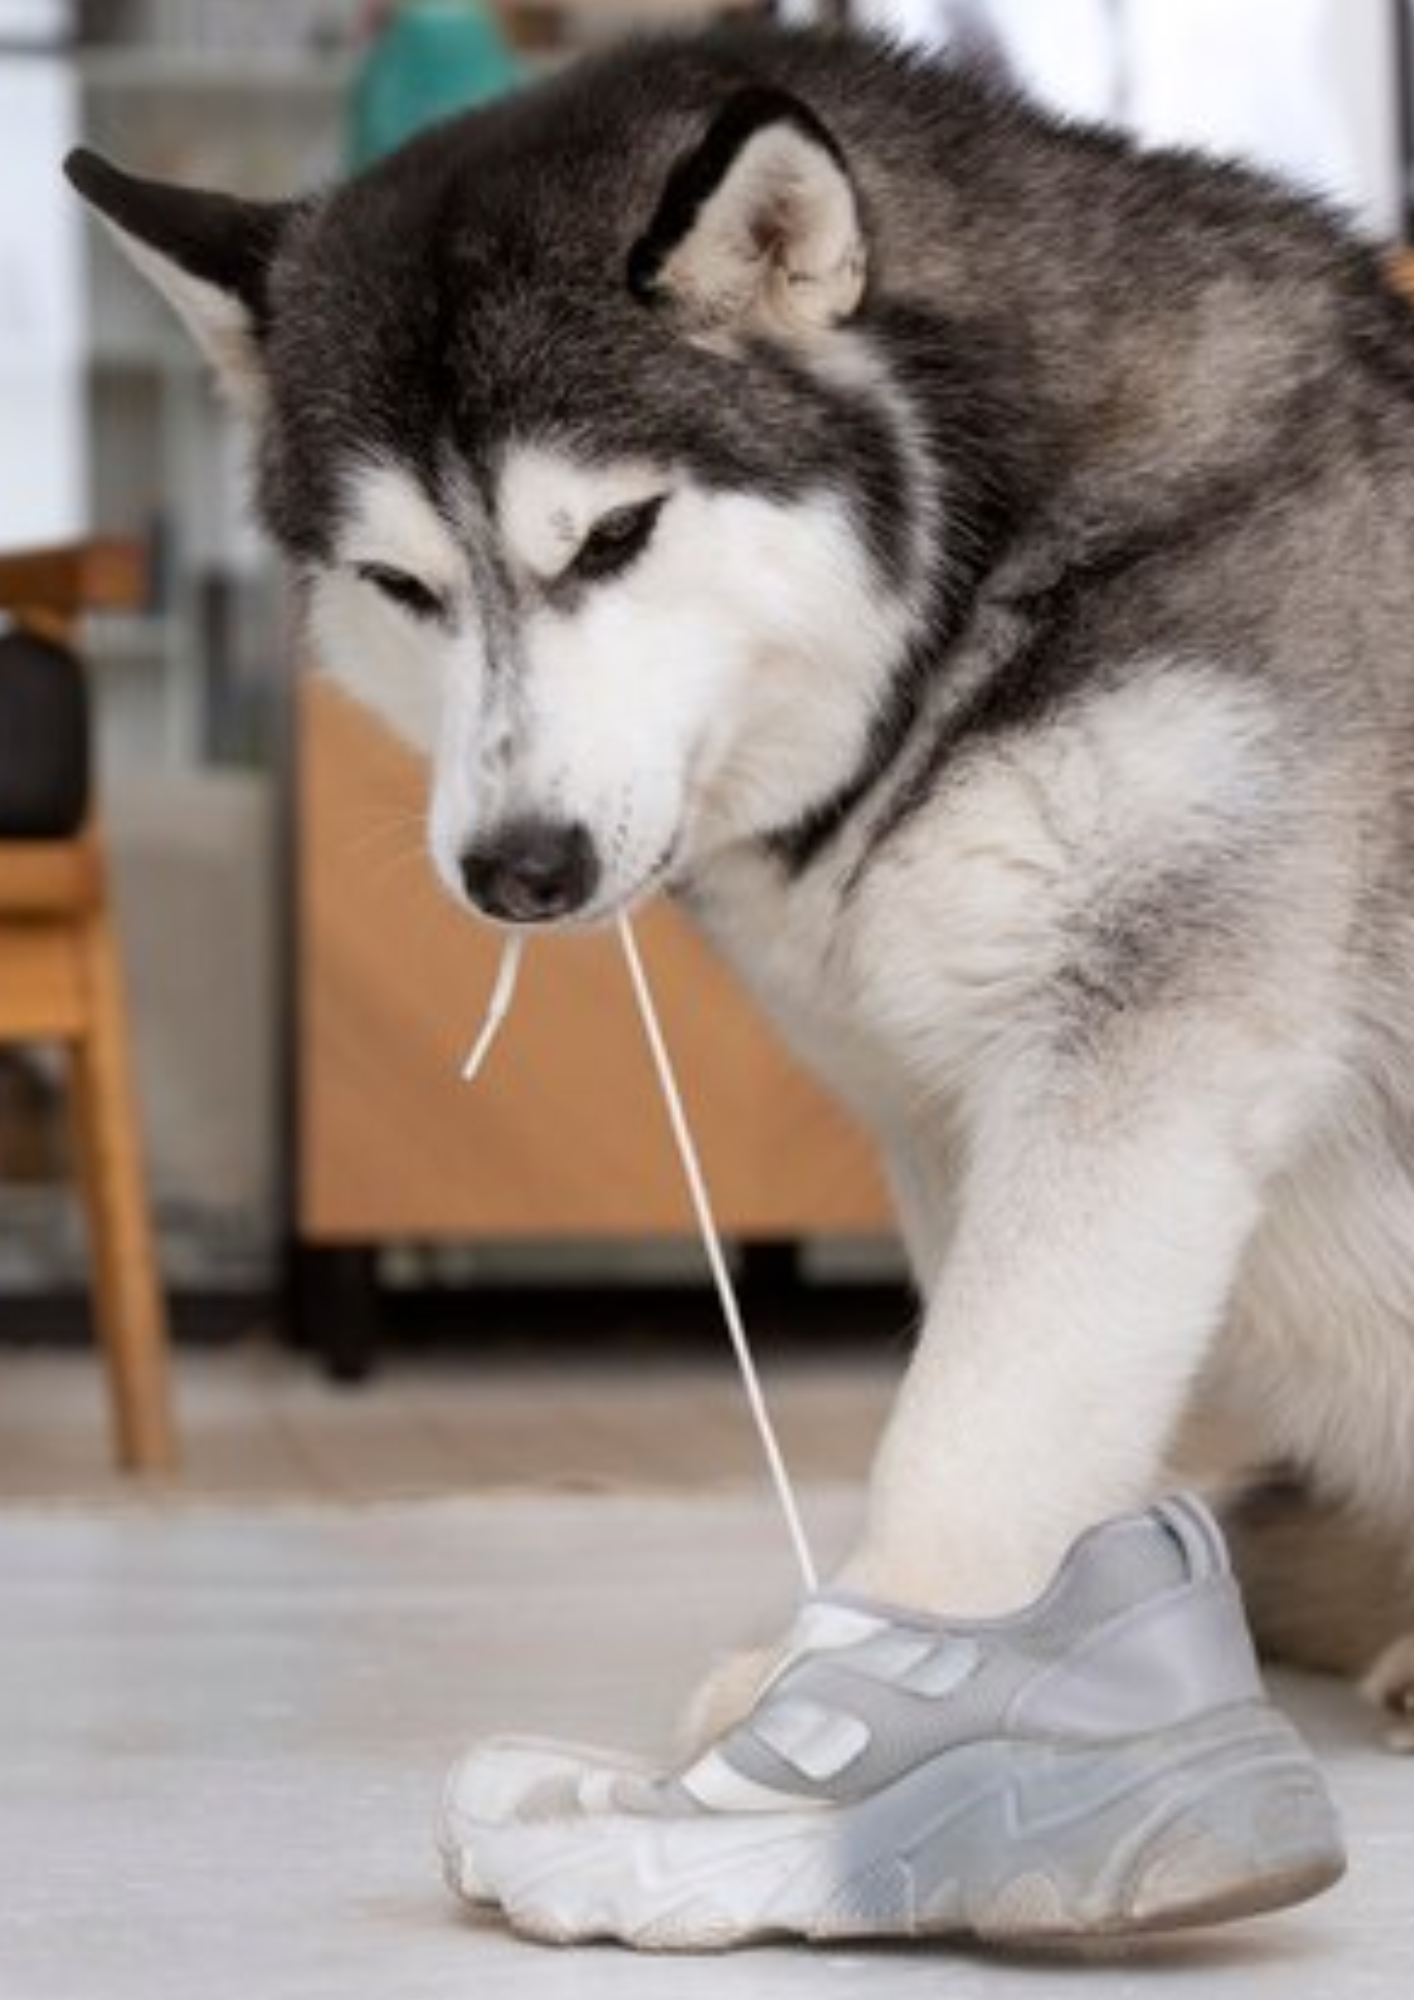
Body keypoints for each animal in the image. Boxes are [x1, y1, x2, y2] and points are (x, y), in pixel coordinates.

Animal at [68, 21, 1414, 1742]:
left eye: (614, 535)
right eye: (399, 586)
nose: (518, 868)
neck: (977, 586)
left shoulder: (1135, 1053)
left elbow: (978, 1411)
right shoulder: (942, 1115)